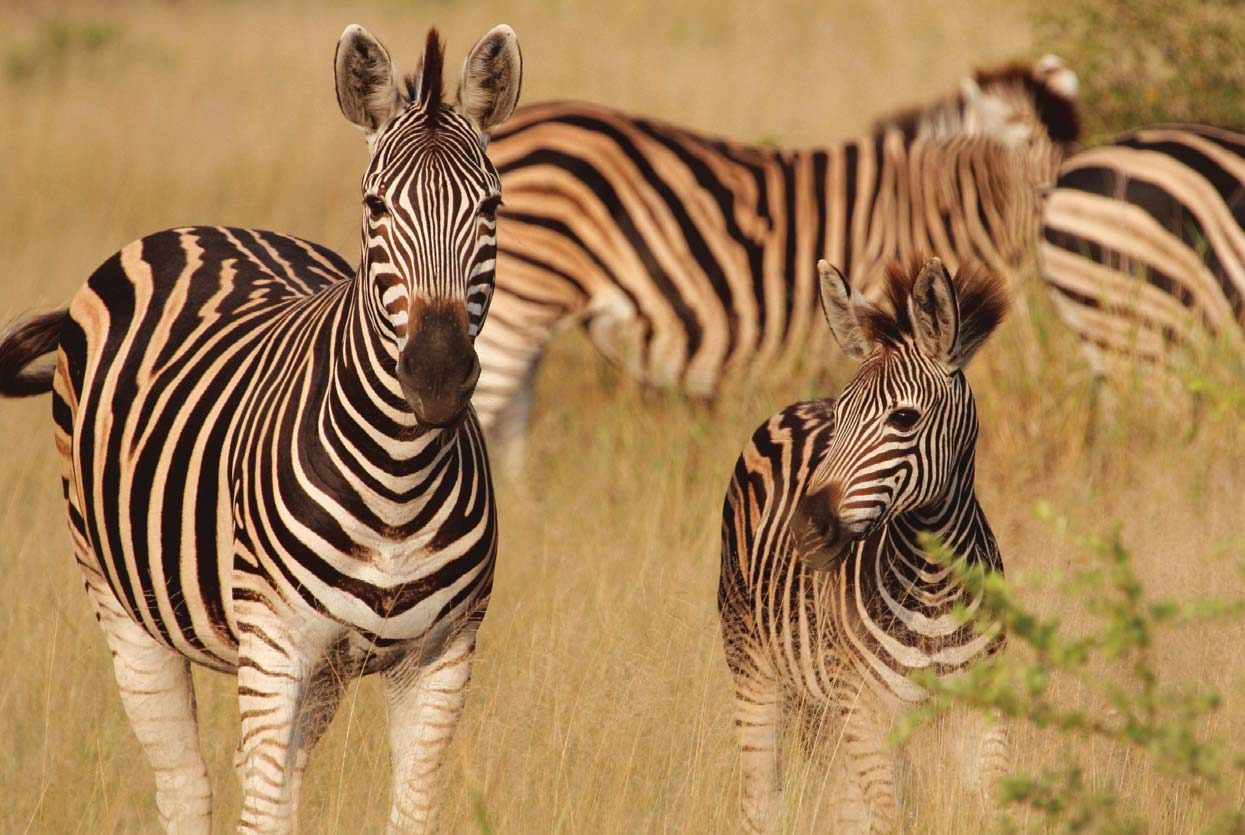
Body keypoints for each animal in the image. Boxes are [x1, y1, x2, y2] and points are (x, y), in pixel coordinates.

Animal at [0, 22, 520, 831]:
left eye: (491, 208)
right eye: (375, 206)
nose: (435, 375)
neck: (400, 481)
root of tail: (203, 226)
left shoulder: (443, 655)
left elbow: (406, 809)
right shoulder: (275, 644)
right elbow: (259, 805)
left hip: (325, 667)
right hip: (120, 603)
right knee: (188, 781)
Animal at [722, 257, 1010, 831]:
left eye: (903, 418)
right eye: (842, 415)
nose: (805, 529)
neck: (936, 586)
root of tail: (792, 407)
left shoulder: (981, 711)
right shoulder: (867, 711)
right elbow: (889, 817)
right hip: (754, 666)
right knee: (760, 797)